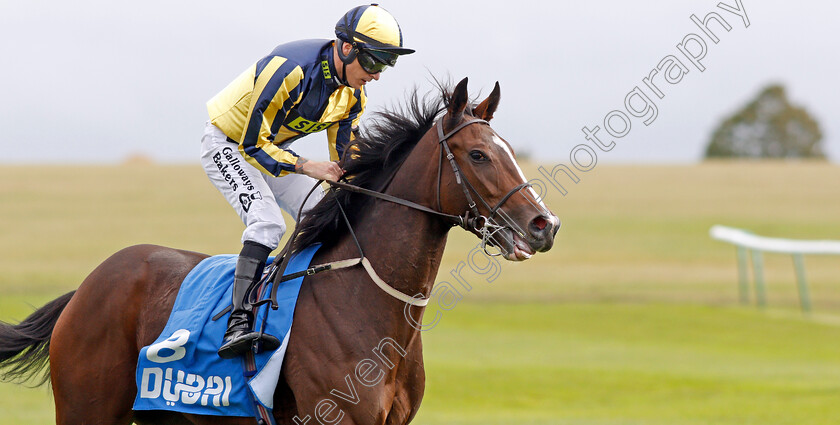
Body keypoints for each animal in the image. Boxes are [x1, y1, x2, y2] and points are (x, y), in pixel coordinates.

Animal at [3, 77, 560, 424]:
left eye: (508, 150)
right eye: (479, 154)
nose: (545, 225)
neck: (363, 296)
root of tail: (84, 288)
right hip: (87, 409)